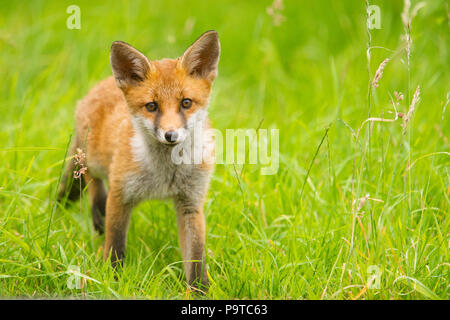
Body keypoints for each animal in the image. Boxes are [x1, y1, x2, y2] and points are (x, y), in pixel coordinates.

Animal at [59, 30, 221, 290]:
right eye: (152, 106)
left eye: (186, 102)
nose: (171, 135)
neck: (165, 175)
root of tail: (103, 83)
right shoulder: (120, 195)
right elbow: (115, 247)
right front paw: (113, 280)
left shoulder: (191, 203)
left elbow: (196, 259)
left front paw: (199, 292)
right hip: (92, 158)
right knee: (91, 179)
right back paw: (96, 213)